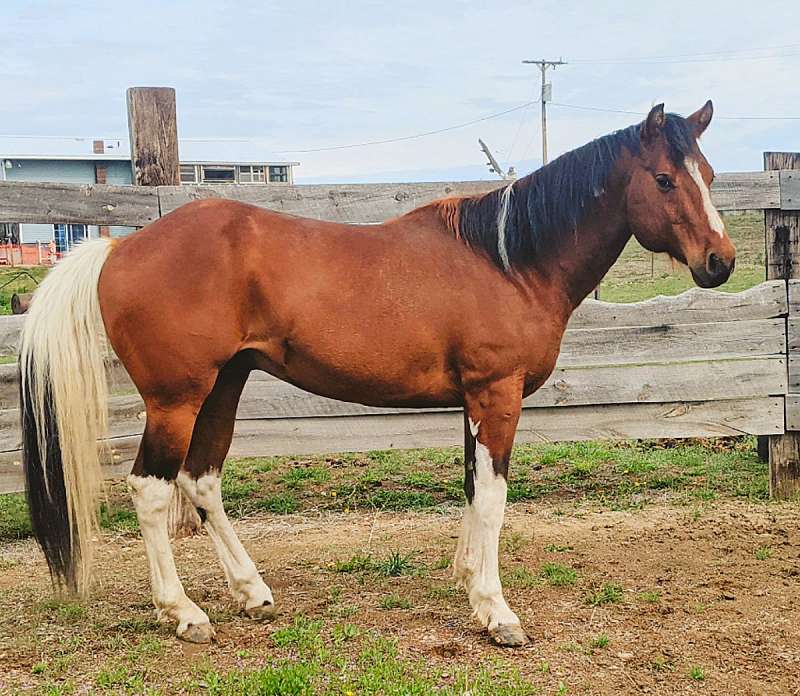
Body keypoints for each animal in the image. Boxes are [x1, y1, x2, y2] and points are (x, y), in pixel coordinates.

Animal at [20, 101, 735, 647]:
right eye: (665, 179)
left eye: (707, 173)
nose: (720, 261)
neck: (509, 260)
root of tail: (120, 246)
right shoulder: (496, 396)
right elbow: (495, 498)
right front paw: (497, 612)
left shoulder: (472, 403)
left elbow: (473, 491)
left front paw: (471, 588)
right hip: (176, 399)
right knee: (151, 488)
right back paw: (185, 613)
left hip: (225, 385)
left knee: (202, 481)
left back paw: (252, 591)